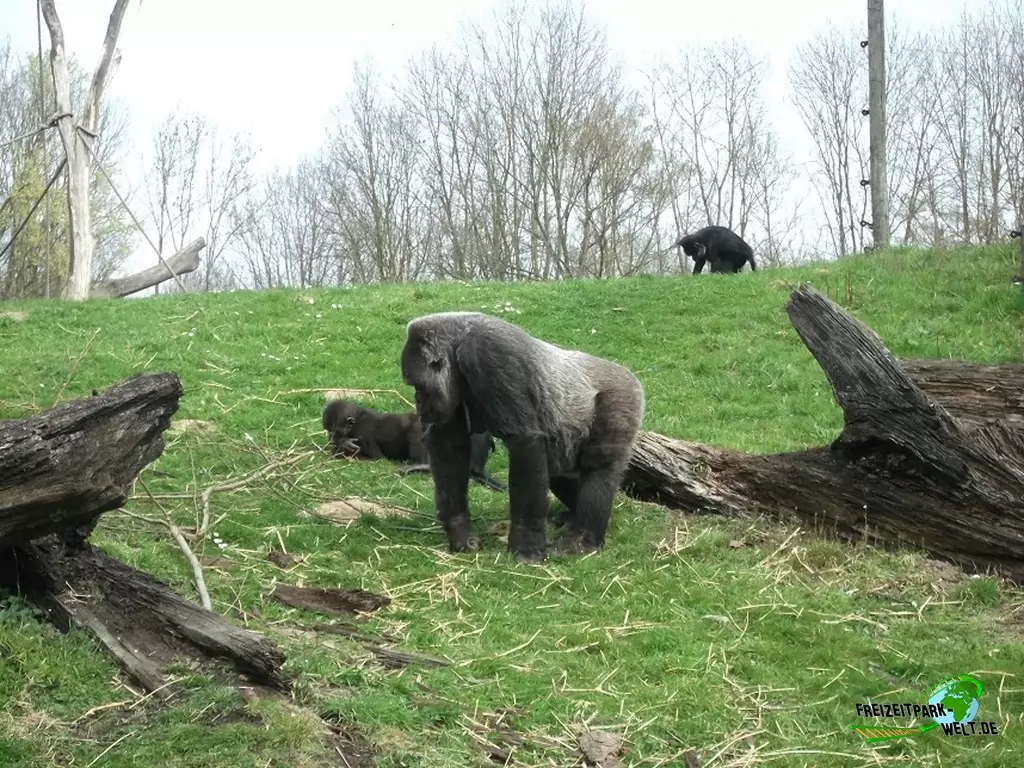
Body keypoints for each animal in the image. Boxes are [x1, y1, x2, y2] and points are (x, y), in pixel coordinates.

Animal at [400, 311, 645, 563]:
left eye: (419, 387)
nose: (419, 404)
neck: (458, 343)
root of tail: (629, 375)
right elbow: (448, 446)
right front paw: (460, 532)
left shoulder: (488, 352)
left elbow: (523, 441)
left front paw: (526, 546)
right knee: (560, 471)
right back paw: (572, 517)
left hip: (623, 396)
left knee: (599, 466)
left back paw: (583, 539)